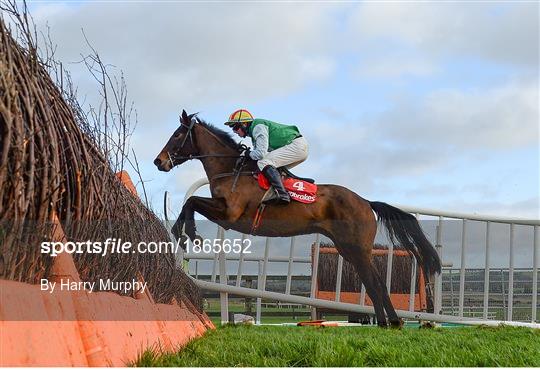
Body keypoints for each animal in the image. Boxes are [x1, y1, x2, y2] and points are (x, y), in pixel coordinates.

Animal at [154, 109, 440, 326]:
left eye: (177, 134)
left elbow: (191, 201)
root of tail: (365, 202)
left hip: (356, 248)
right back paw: (390, 321)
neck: (231, 169)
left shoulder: (229, 214)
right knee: (375, 280)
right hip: (349, 249)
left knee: (374, 281)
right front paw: (183, 232)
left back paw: (387, 321)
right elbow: (190, 202)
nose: (159, 161)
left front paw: (187, 233)